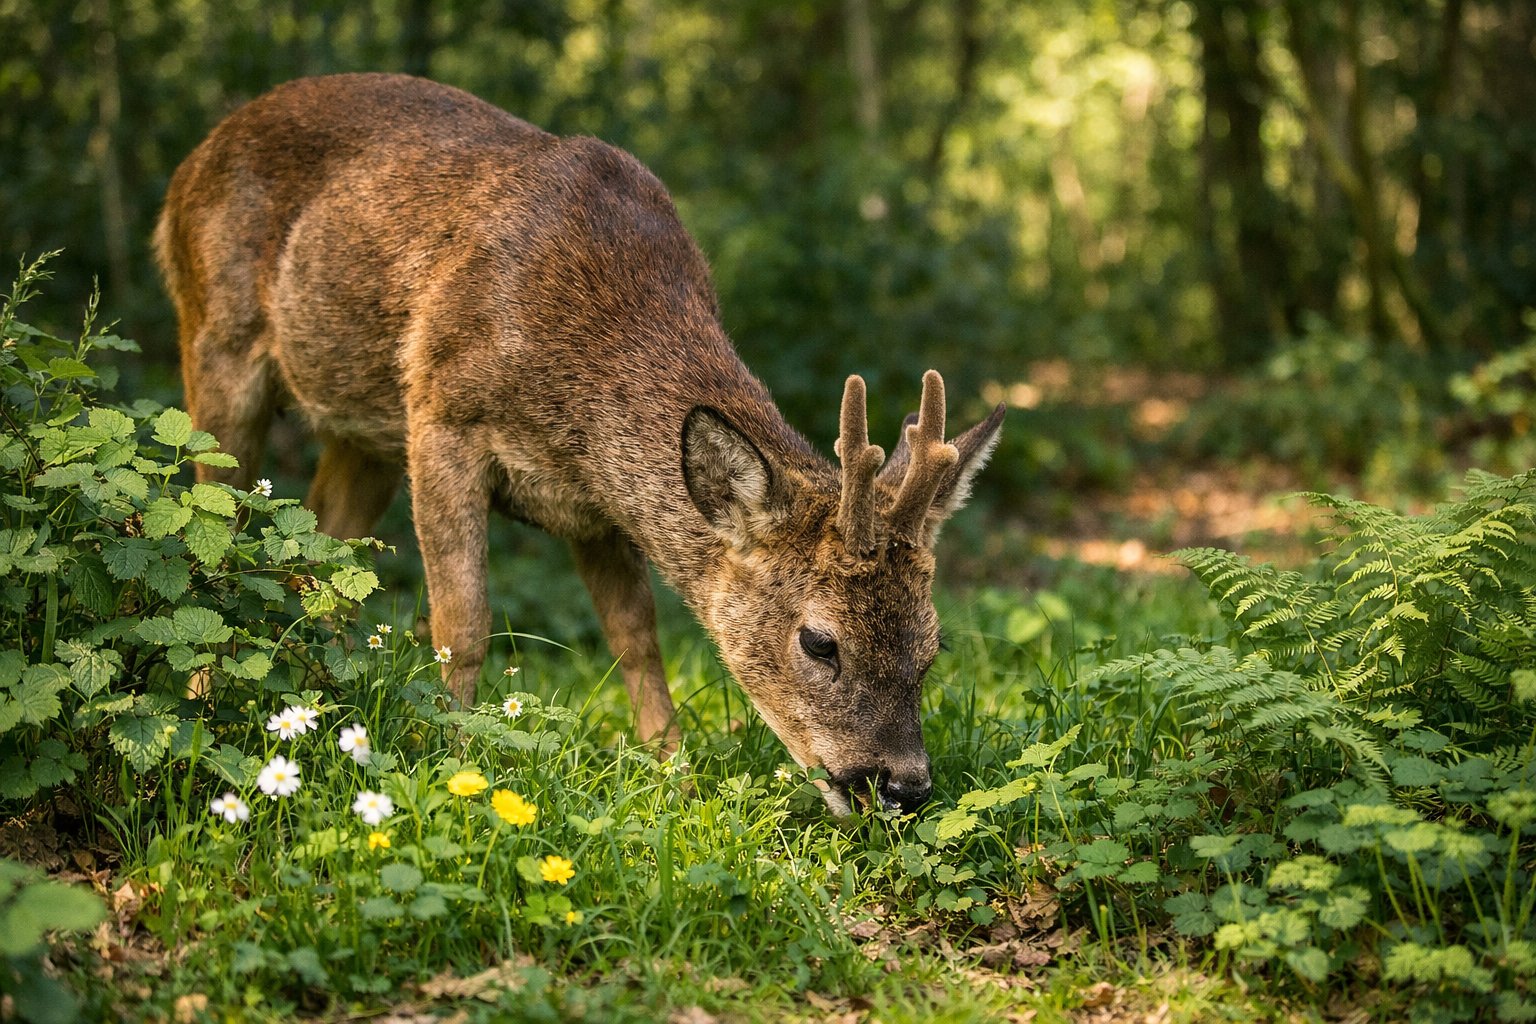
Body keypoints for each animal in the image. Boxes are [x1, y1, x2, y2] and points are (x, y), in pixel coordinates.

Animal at [155, 73, 1003, 815]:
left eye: (933, 647)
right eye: (820, 642)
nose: (902, 786)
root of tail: (193, 160)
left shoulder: (597, 503)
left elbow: (637, 638)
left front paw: (675, 776)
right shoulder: (441, 415)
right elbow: (461, 626)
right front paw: (457, 767)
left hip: (361, 426)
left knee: (320, 558)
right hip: (216, 337)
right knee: (210, 538)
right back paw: (201, 720)